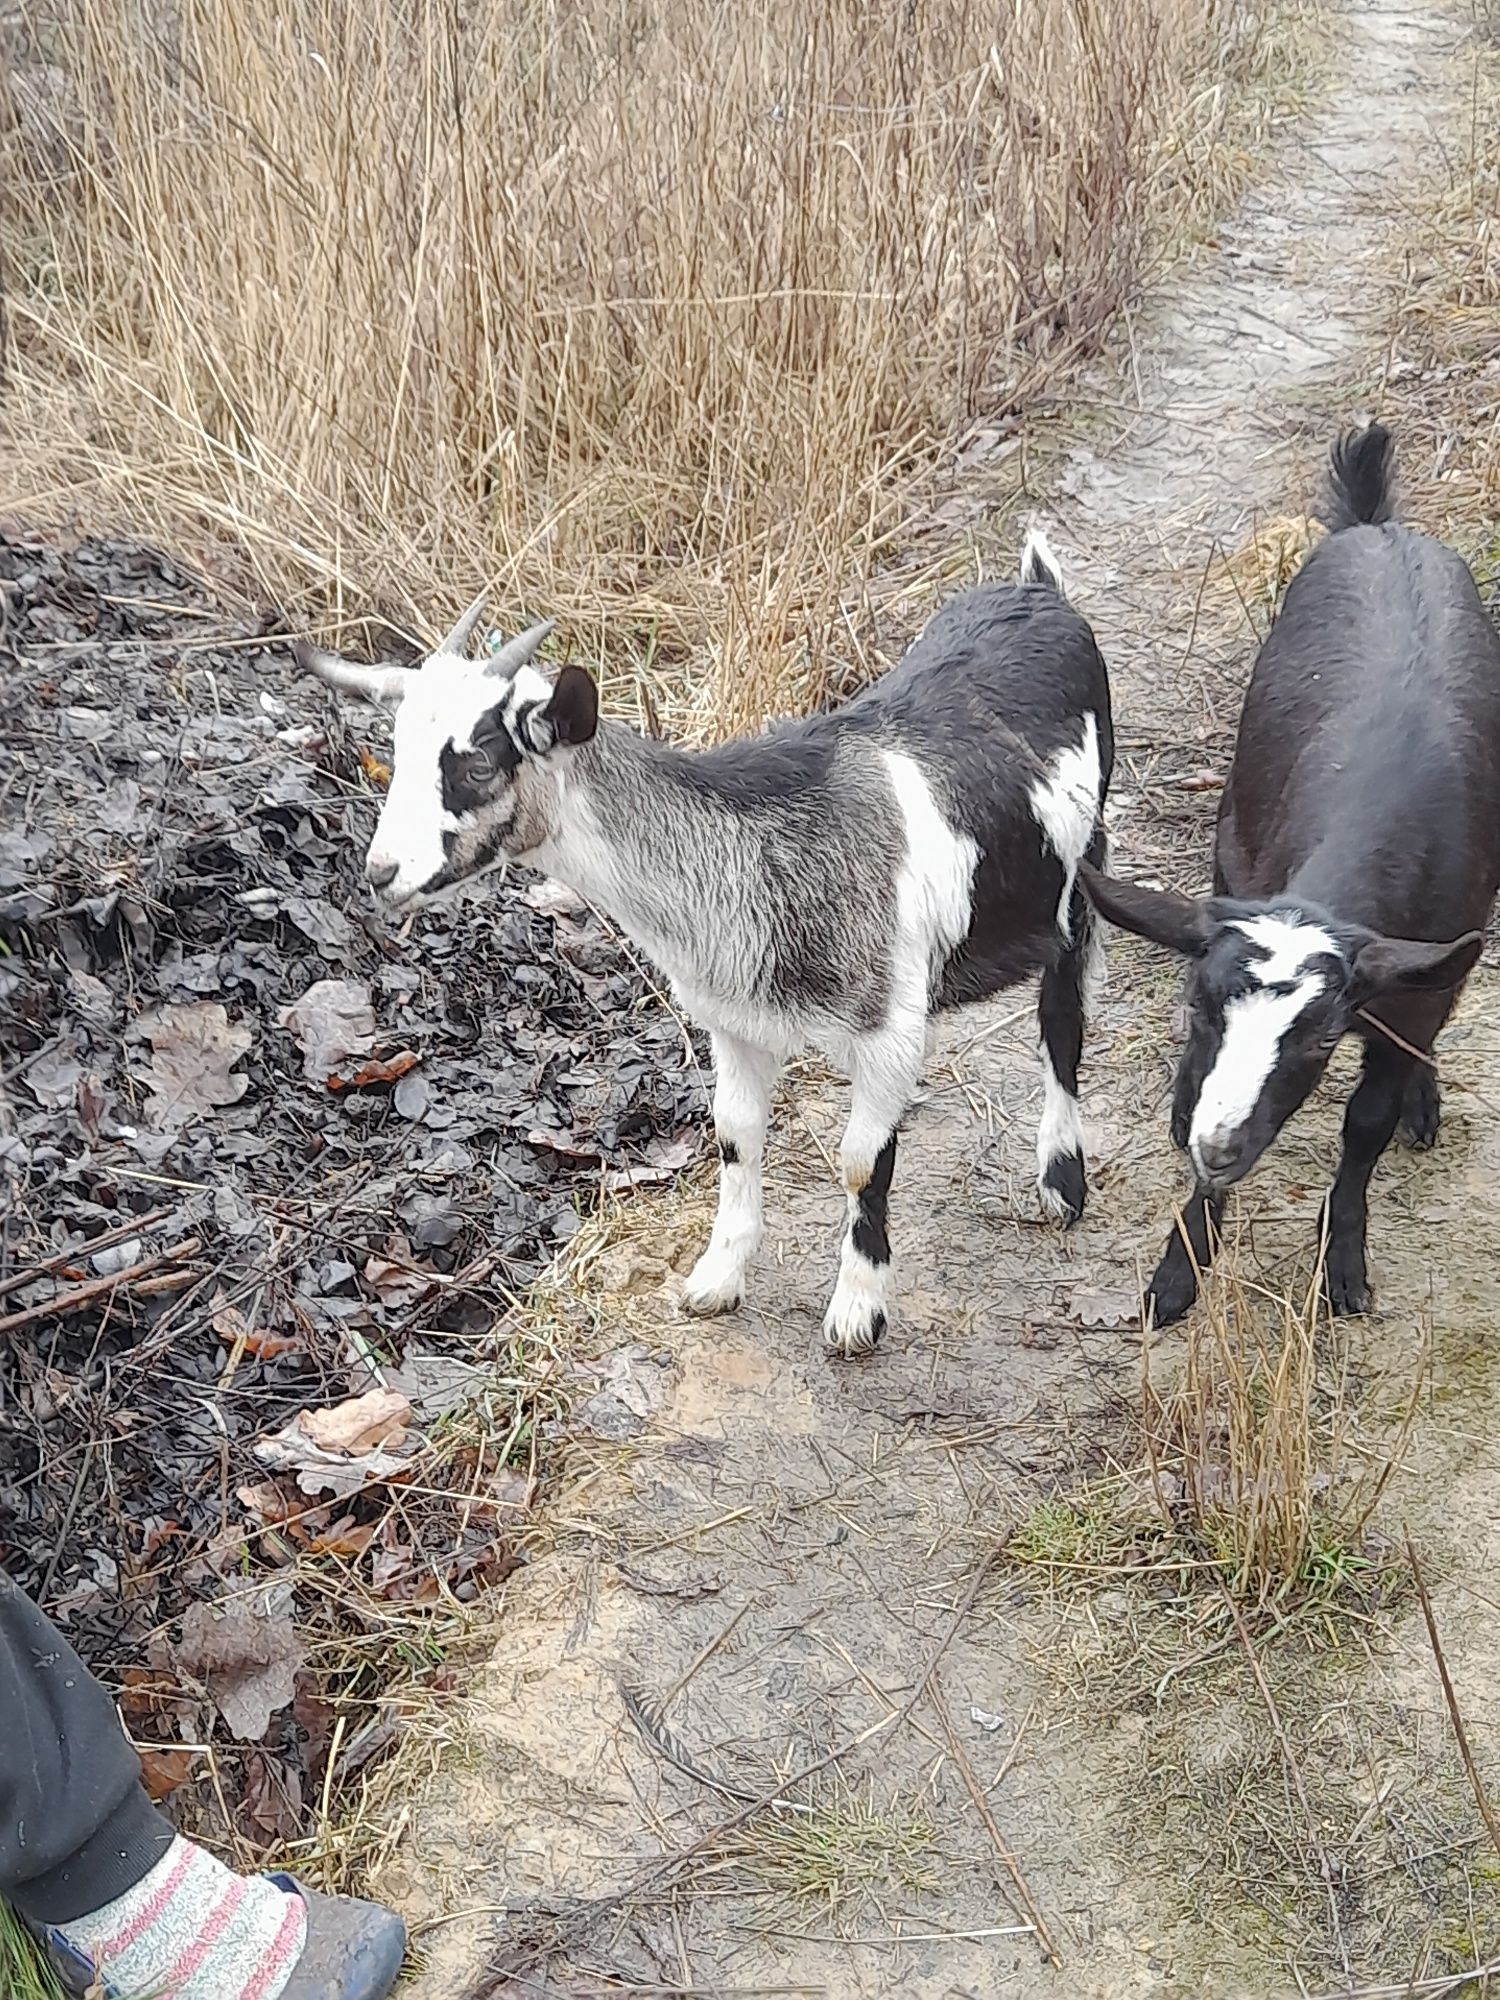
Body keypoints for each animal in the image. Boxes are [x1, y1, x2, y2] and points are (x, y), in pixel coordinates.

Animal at [296, 540, 1120, 1360]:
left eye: (476, 764)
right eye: (396, 752)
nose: (382, 873)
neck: (754, 857)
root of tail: (1038, 590)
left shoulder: (887, 1030)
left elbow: (861, 1161)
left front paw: (857, 1309)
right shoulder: (733, 1020)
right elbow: (735, 1134)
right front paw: (717, 1278)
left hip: (1082, 876)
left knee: (1062, 1019)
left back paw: (1061, 1181)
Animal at [1080, 422, 1500, 1320]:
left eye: (1315, 1039)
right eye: (1200, 1010)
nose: (1220, 1141)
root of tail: (1380, 527)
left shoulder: (1422, 974)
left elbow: (1367, 1119)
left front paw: (1342, 1264)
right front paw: (1180, 1270)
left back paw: (1423, 1099)